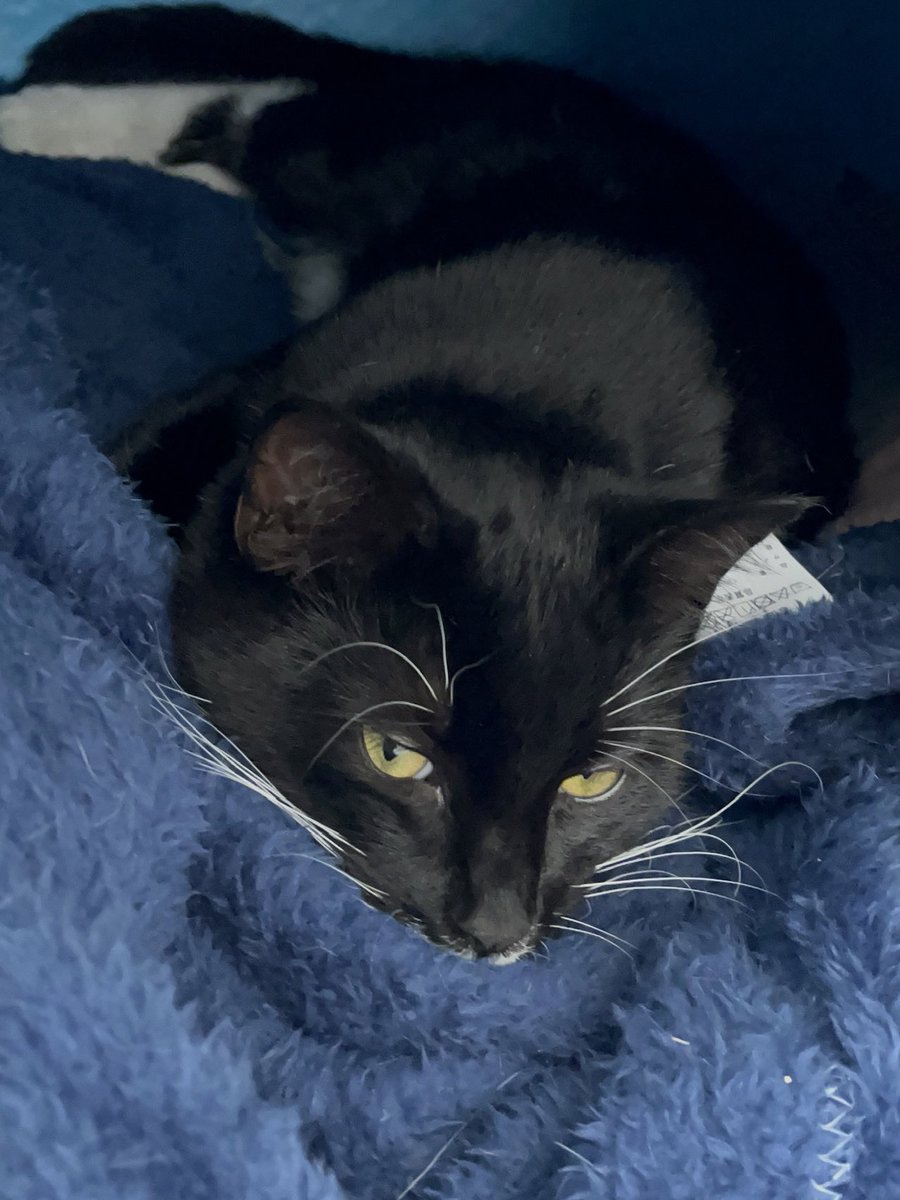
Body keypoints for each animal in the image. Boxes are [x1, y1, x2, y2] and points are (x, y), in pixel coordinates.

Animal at [19, 7, 854, 964]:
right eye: (394, 754)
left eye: (593, 782)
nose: (495, 930)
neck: (532, 399)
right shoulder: (262, 388)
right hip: (371, 151)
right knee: (274, 106)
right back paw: (36, 122)